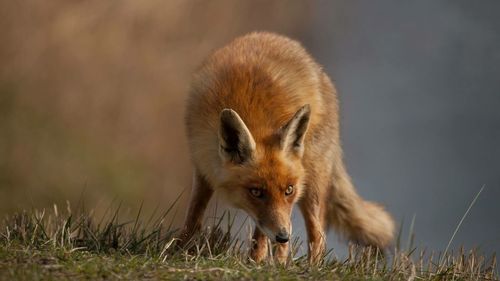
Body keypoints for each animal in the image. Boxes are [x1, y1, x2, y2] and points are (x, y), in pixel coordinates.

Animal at [180, 32, 394, 262]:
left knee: (318, 235)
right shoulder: (202, 166)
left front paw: (254, 263)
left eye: (288, 190)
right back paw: (281, 262)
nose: (283, 236)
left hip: (311, 185)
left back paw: (307, 265)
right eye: (256, 192)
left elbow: (260, 238)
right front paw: (181, 247)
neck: (253, 118)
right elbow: (194, 211)